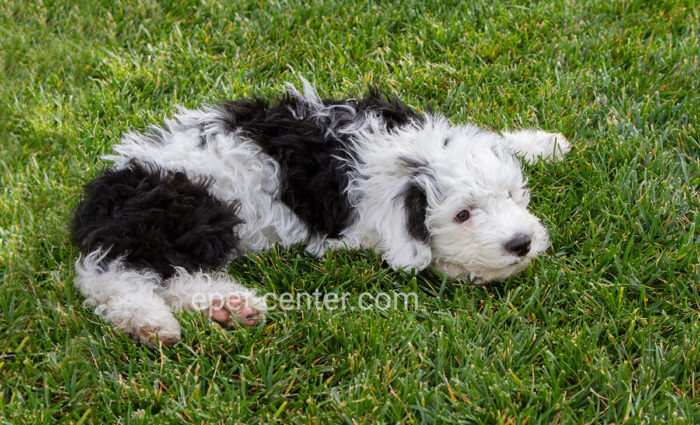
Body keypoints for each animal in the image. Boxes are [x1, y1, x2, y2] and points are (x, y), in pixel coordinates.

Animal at [74, 80, 572, 344]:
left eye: (513, 196)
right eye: (463, 215)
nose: (522, 243)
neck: (401, 155)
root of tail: (105, 196)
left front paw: (543, 144)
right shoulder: (359, 225)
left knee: (172, 275)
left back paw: (227, 308)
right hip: (192, 207)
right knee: (113, 272)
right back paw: (156, 320)